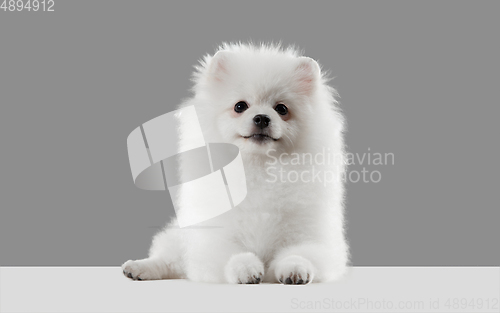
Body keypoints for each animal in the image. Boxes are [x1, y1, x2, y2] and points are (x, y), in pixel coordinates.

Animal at [122, 42, 348, 284]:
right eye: (240, 106)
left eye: (282, 109)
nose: (262, 118)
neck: (258, 167)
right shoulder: (215, 238)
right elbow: (234, 254)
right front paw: (246, 270)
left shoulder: (309, 235)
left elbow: (299, 253)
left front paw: (295, 269)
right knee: (167, 258)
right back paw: (138, 267)